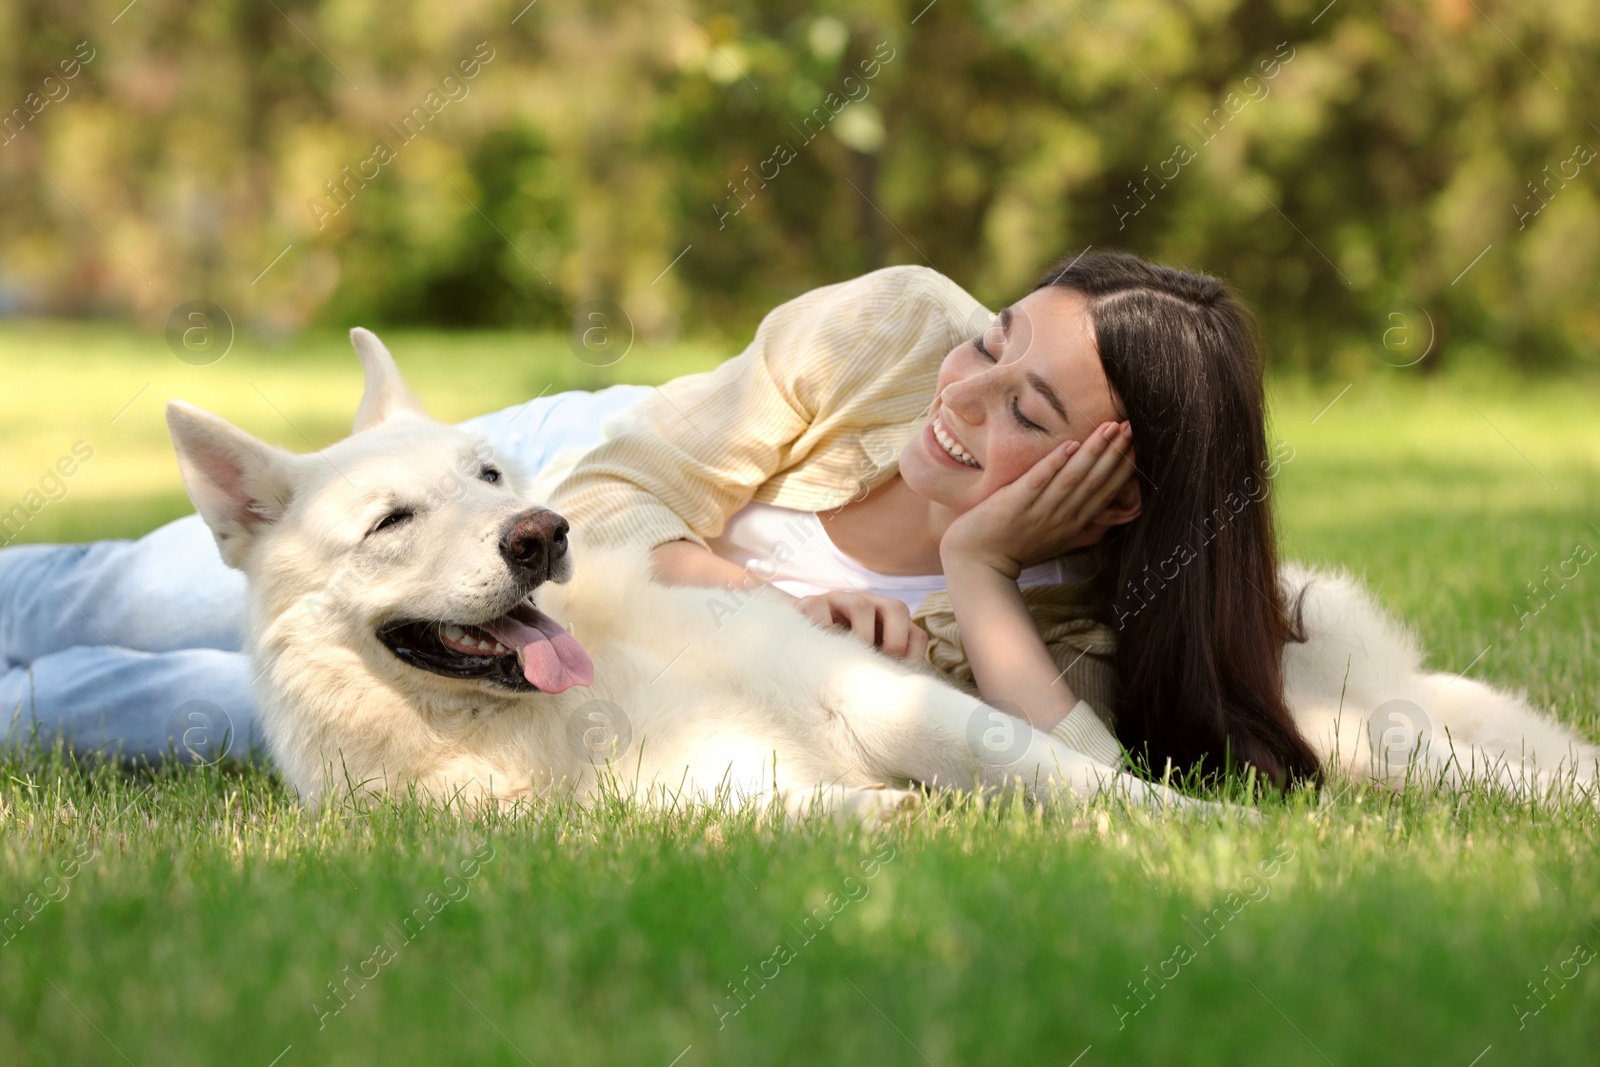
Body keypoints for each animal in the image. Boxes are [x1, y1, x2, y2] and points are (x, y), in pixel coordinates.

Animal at [165, 329, 1600, 812]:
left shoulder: (893, 695)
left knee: (1473, 753)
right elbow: (866, 813)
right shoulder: (705, 809)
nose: (541, 537)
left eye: (492, 474)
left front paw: (1219, 840)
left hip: (1353, 719)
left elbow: (1095, 782)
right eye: (390, 520)